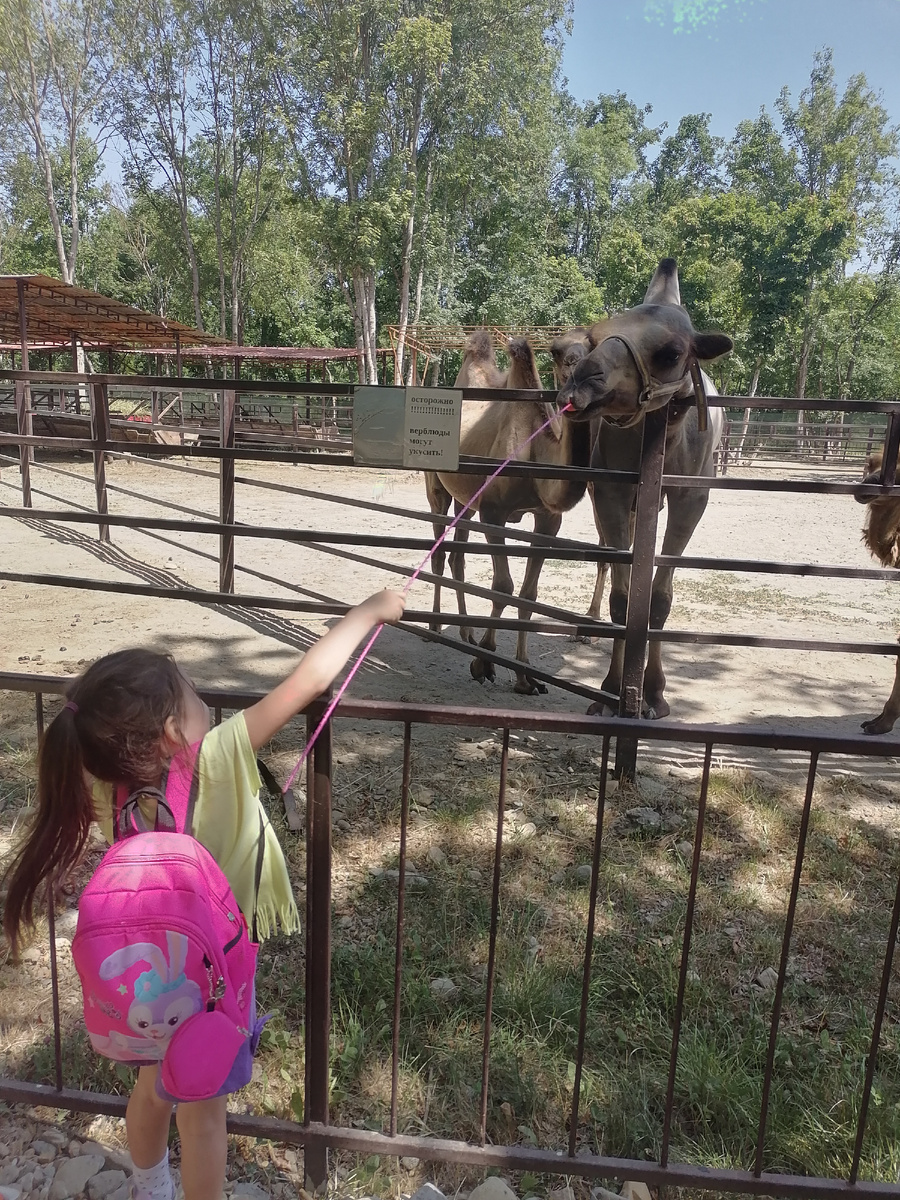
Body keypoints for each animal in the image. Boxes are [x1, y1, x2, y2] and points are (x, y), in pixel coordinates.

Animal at [427, 328, 595, 696]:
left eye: (594, 344)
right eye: (557, 351)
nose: (581, 369)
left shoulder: (547, 519)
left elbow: (529, 595)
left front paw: (525, 676)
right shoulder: (494, 512)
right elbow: (502, 586)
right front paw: (485, 662)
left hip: (465, 499)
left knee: (457, 556)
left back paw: (466, 633)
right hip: (436, 489)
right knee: (438, 552)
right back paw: (434, 627)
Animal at [561, 258, 734, 715]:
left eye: (672, 353)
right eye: (594, 337)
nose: (581, 382)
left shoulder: (691, 496)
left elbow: (658, 600)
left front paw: (655, 693)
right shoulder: (611, 491)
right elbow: (624, 599)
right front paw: (610, 690)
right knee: (604, 558)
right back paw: (587, 625)